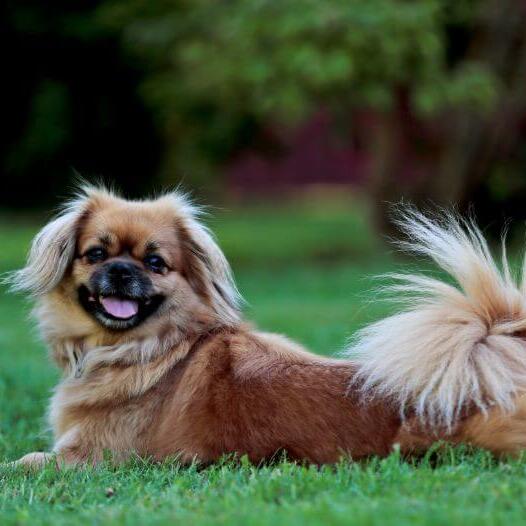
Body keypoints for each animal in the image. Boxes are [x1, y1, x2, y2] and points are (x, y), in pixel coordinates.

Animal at [8, 187, 526, 470]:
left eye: (156, 264)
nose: (119, 270)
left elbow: (22, 464)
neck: (146, 346)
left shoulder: (94, 458)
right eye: (95, 254)